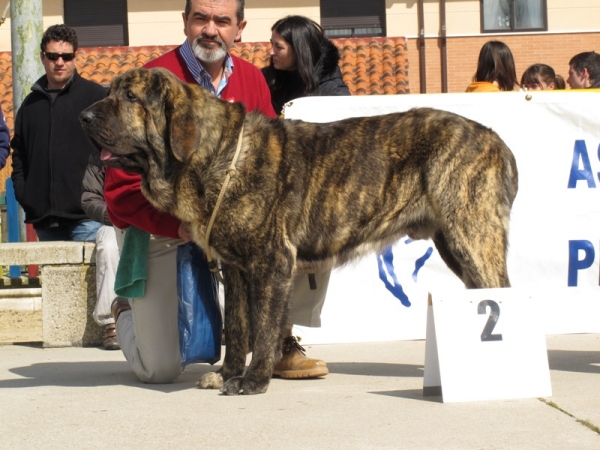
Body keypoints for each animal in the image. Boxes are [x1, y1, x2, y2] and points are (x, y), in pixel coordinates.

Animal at [79, 67, 516, 394]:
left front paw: (253, 381)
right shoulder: (235, 270)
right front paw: (227, 374)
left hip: (472, 240)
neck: (219, 155)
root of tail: (495, 138)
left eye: (131, 97)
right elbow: (239, 327)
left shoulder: (271, 263)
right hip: (458, 246)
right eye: (111, 92)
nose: (83, 117)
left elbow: (264, 328)